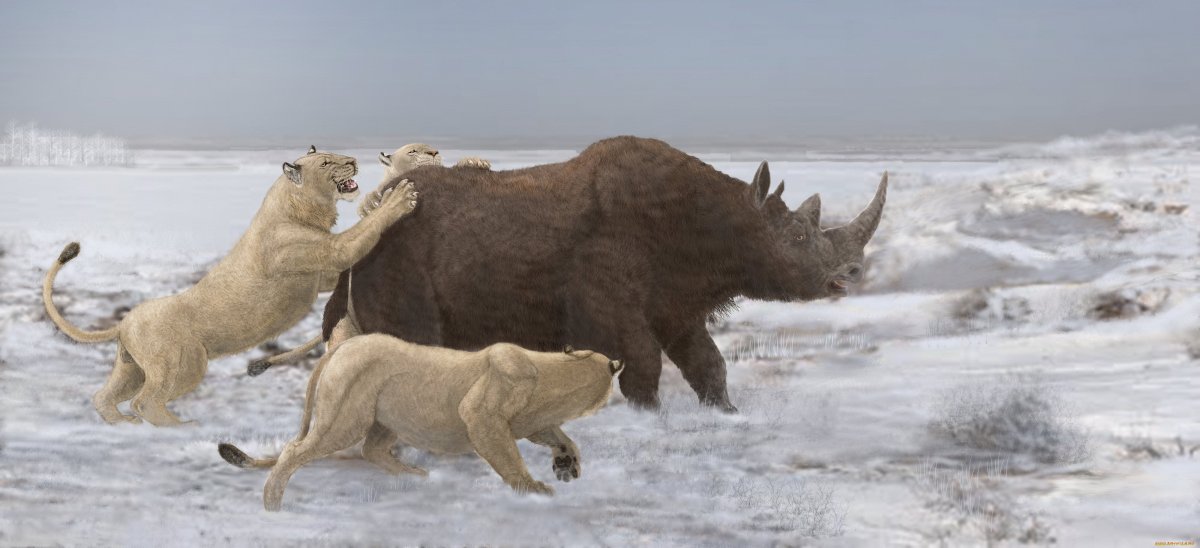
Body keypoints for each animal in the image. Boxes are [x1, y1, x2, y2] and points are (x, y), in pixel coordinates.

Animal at [42, 147, 420, 426]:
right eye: (326, 162)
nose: (354, 161)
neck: (301, 206)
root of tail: (124, 322)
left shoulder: (323, 274)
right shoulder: (329, 252)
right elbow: (360, 234)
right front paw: (399, 198)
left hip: (131, 367)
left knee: (104, 396)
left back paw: (121, 425)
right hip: (184, 362)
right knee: (145, 401)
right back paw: (181, 427)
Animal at [218, 335, 623, 511]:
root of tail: (343, 345)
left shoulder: (534, 423)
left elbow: (562, 437)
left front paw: (566, 464)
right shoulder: (482, 415)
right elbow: (508, 457)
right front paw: (535, 489)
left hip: (385, 421)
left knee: (372, 451)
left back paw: (416, 476)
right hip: (346, 417)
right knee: (295, 450)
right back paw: (272, 503)